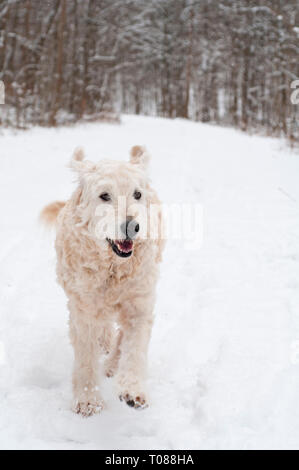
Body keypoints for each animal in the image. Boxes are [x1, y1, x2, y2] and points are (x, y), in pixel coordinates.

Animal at [40, 146, 164, 414]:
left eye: (137, 194)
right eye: (104, 195)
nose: (132, 226)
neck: (112, 268)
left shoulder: (139, 304)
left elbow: (134, 347)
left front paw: (133, 390)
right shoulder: (84, 308)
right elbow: (86, 353)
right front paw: (88, 399)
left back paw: (112, 365)